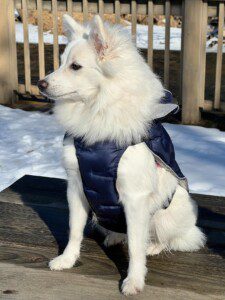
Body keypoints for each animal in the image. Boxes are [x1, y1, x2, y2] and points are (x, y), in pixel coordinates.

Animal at [37, 14, 206, 296]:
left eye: (75, 67)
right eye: (61, 63)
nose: (41, 83)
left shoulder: (134, 199)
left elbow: (136, 249)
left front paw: (134, 281)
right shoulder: (77, 187)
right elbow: (74, 230)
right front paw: (67, 260)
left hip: (169, 214)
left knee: (166, 237)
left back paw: (154, 246)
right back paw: (116, 236)